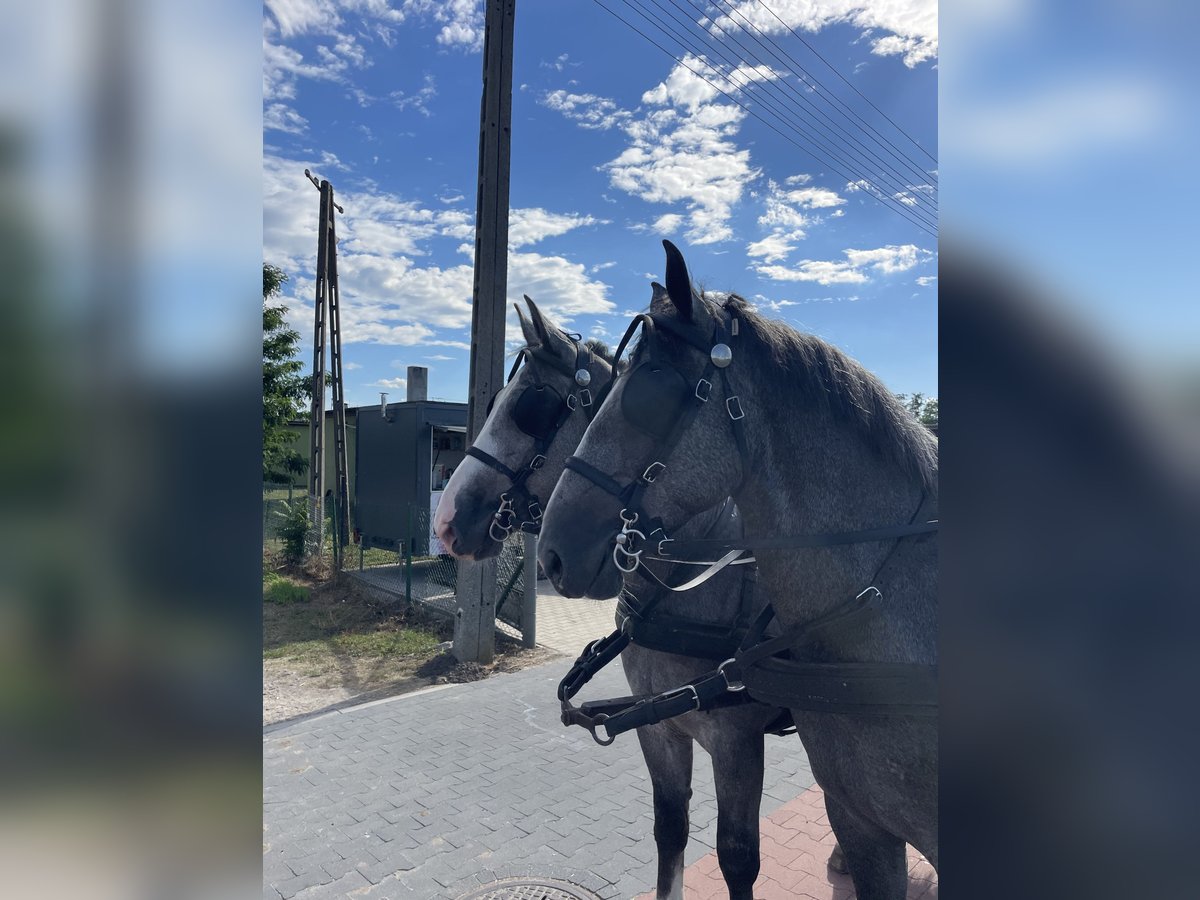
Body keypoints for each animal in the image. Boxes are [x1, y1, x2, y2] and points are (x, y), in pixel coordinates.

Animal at [436, 297, 792, 900]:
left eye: (531, 408)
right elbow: (670, 830)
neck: (692, 583)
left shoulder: (738, 742)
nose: (446, 521)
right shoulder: (658, 728)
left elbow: (738, 858)